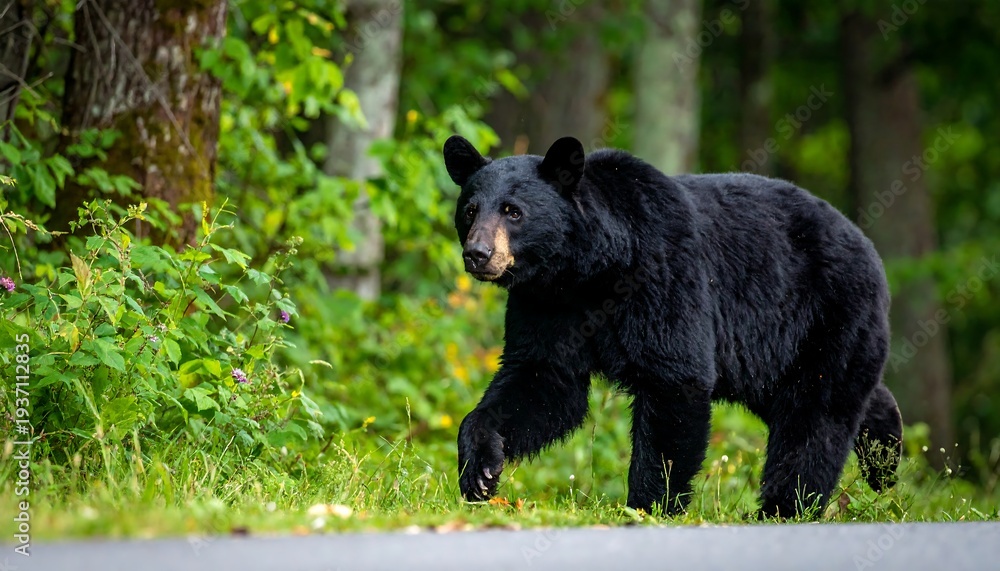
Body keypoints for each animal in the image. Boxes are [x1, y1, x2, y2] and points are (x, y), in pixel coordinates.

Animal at [443, 134, 903, 518]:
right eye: (470, 211)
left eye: (513, 212)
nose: (478, 254)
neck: (589, 272)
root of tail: (865, 242)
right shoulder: (546, 306)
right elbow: (541, 379)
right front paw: (480, 471)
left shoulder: (661, 277)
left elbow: (674, 379)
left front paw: (648, 505)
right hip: (773, 350)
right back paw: (886, 457)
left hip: (824, 312)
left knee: (816, 412)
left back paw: (784, 507)